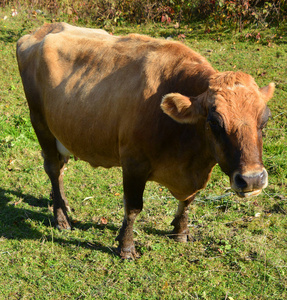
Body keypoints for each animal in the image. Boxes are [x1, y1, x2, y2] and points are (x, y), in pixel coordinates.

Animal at [16, 22, 276, 258]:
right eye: (214, 122)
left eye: (264, 120)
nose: (252, 179)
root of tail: (42, 30)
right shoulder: (133, 163)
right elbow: (133, 207)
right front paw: (126, 247)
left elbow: (188, 201)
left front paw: (181, 232)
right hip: (40, 123)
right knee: (53, 167)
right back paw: (62, 218)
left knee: (61, 168)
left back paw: (62, 203)